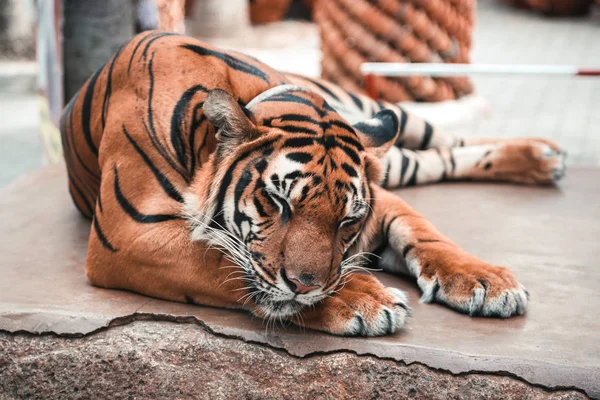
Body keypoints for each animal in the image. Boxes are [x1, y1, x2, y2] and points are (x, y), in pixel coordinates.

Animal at [61, 31, 568, 336]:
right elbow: (218, 260)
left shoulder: (379, 196)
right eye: (277, 201)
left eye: (347, 222)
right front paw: (363, 298)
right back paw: (545, 159)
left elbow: (426, 234)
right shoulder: (129, 233)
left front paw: (485, 280)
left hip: (388, 116)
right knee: (436, 158)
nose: (304, 287)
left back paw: (544, 156)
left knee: (447, 140)